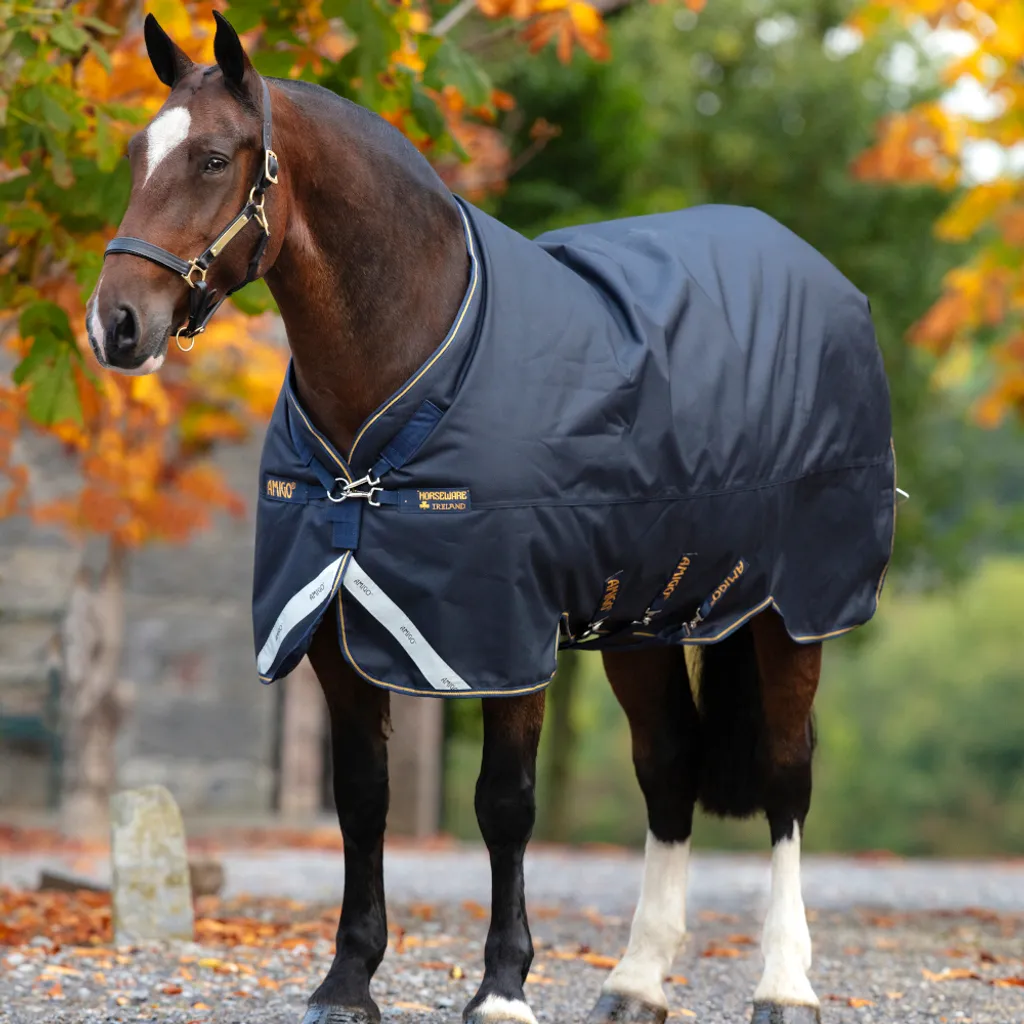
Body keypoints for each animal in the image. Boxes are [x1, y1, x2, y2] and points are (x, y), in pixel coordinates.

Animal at [86, 14, 897, 1024]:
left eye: (211, 158)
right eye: (132, 154)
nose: (115, 324)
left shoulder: (505, 635)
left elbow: (504, 802)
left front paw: (503, 987)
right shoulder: (333, 631)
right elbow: (362, 799)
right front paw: (347, 981)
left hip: (796, 612)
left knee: (787, 775)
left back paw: (785, 984)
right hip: (643, 619)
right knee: (669, 767)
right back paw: (636, 981)